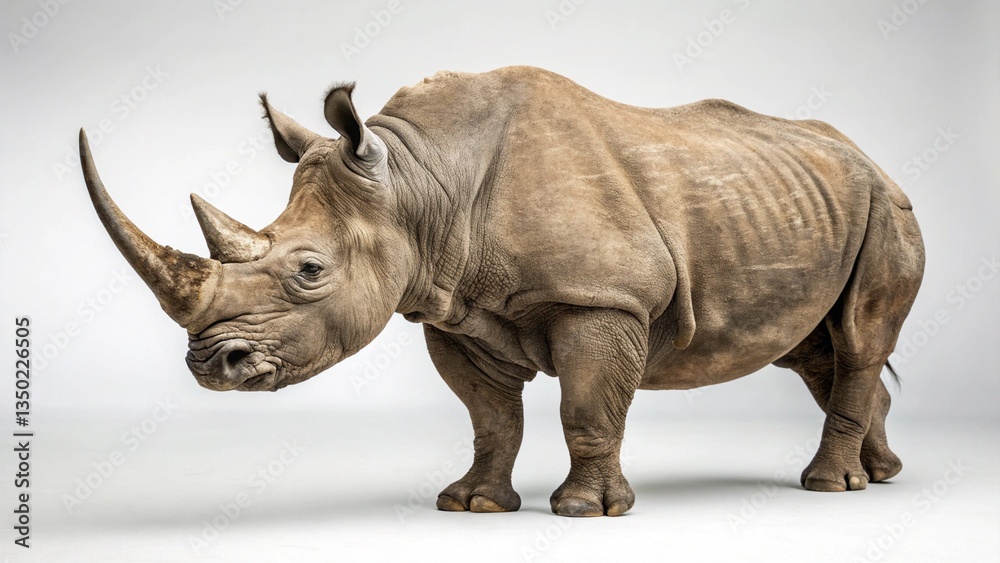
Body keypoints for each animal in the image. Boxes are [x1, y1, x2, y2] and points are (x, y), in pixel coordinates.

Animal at [79, 66, 925, 517]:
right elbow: (489, 416)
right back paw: (881, 474)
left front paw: (586, 510)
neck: (419, 181)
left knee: (857, 337)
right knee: (812, 349)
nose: (208, 365)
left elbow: (588, 407)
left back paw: (830, 487)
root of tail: (872, 158)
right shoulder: (453, 309)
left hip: (887, 207)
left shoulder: (602, 296)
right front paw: (473, 503)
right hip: (811, 204)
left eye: (309, 270)